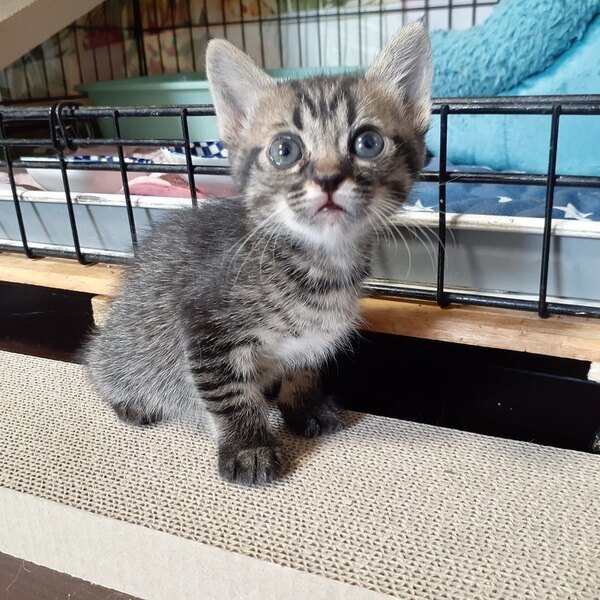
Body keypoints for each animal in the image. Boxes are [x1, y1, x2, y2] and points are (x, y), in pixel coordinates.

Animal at [83, 22, 432, 485]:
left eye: (368, 142)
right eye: (285, 150)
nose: (328, 179)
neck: (318, 266)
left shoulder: (315, 337)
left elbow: (304, 367)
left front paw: (303, 406)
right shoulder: (205, 324)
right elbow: (229, 395)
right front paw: (248, 447)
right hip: (125, 348)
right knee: (102, 365)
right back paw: (130, 400)